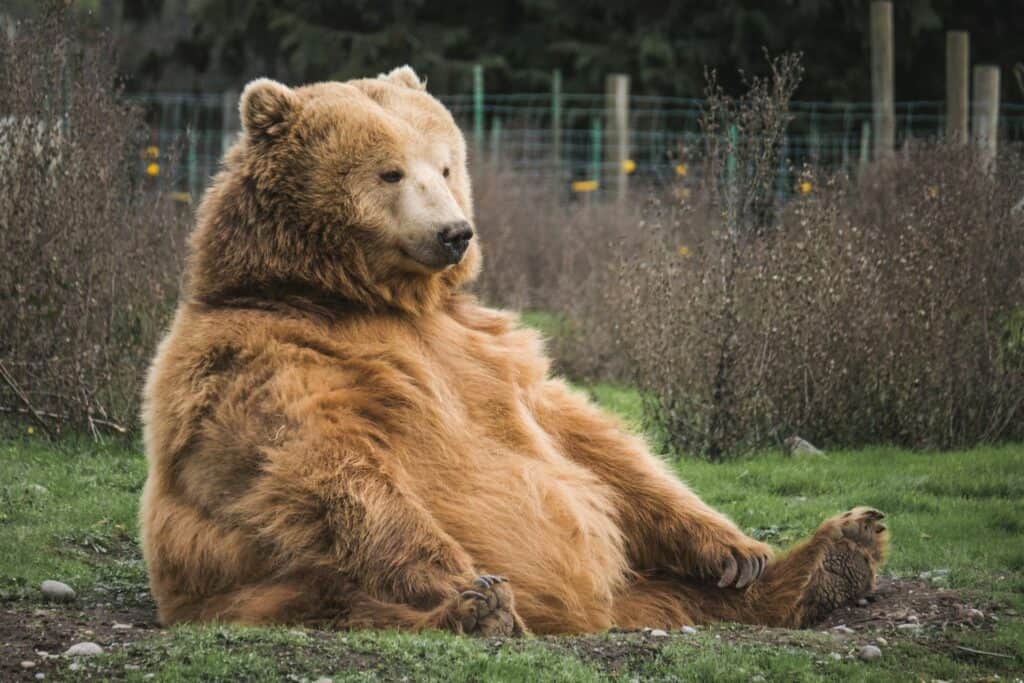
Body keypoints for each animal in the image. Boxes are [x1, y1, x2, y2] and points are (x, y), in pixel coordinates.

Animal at [139, 65, 888, 635]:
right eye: (389, 172)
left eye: (445, 164)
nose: (454, 232)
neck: (363, 297)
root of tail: (592, 614)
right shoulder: (265, 358)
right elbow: (324, 465)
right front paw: (465, 582)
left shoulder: (485, 350)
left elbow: (590, 440)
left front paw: (736, 548)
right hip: (260, 586)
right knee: (343, 595)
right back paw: (479, 609)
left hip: (639, 582)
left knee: (682, 592)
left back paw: (834, 555)